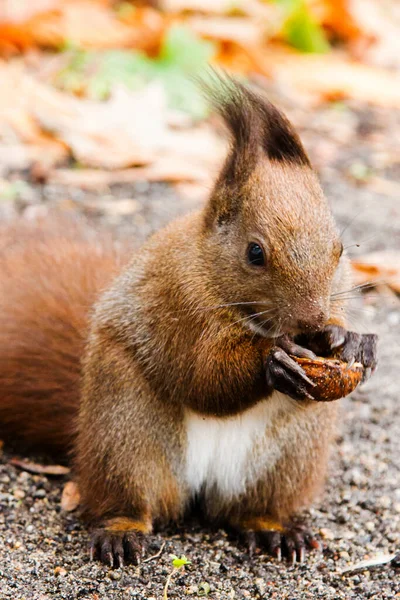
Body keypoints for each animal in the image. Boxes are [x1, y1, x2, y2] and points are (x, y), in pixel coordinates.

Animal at [0, 76, 378, 568]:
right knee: (127, 498)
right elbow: (201, 374)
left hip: (288, 457)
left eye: (340, 249)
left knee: (252, 508)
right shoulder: (176, 305)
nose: (311, 319)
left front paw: (350, 340)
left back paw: (275, 530)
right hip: (126, 431)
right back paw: (120, 533)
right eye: (255, 252)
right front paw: (273, 361)